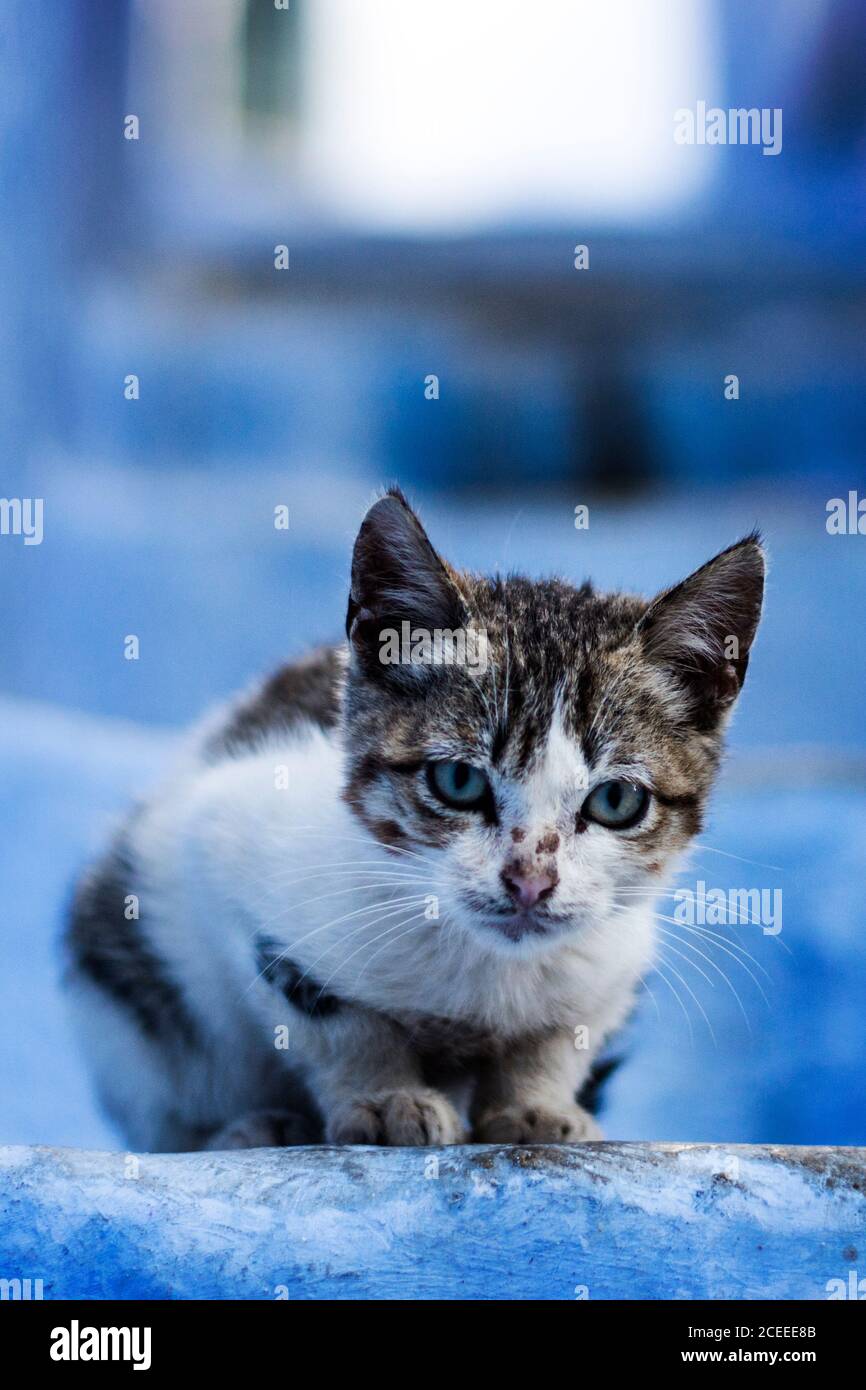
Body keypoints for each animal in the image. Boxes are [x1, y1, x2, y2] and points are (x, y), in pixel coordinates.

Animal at [66, 489, 767, 1150]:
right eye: (458, 781)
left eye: (616, 800)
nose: (530, 882)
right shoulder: (226, 853)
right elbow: (335, 1018)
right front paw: (385, 1099)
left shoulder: (612, 960)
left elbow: (559, 1036)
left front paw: (535, 1106)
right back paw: (242, 1131)